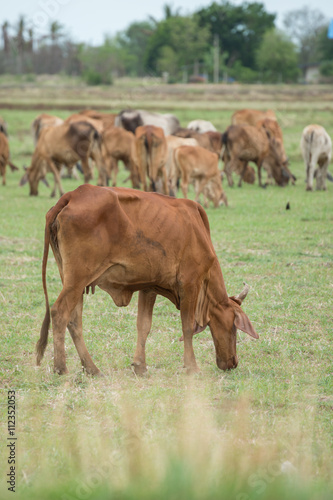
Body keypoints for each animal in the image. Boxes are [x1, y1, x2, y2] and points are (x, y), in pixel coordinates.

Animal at [35, 184, 256, 376]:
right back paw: (61, 367)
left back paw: (92, 368)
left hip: (73, 281)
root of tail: (74, 194)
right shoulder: (190, 284)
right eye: (234, 326)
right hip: (77, 280)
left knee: (74, 320)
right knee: (60, 313)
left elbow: (144, 325)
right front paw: (192, 367)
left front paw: (140, 366)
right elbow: (187, 327)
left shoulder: (149, 287)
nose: (233, 363)